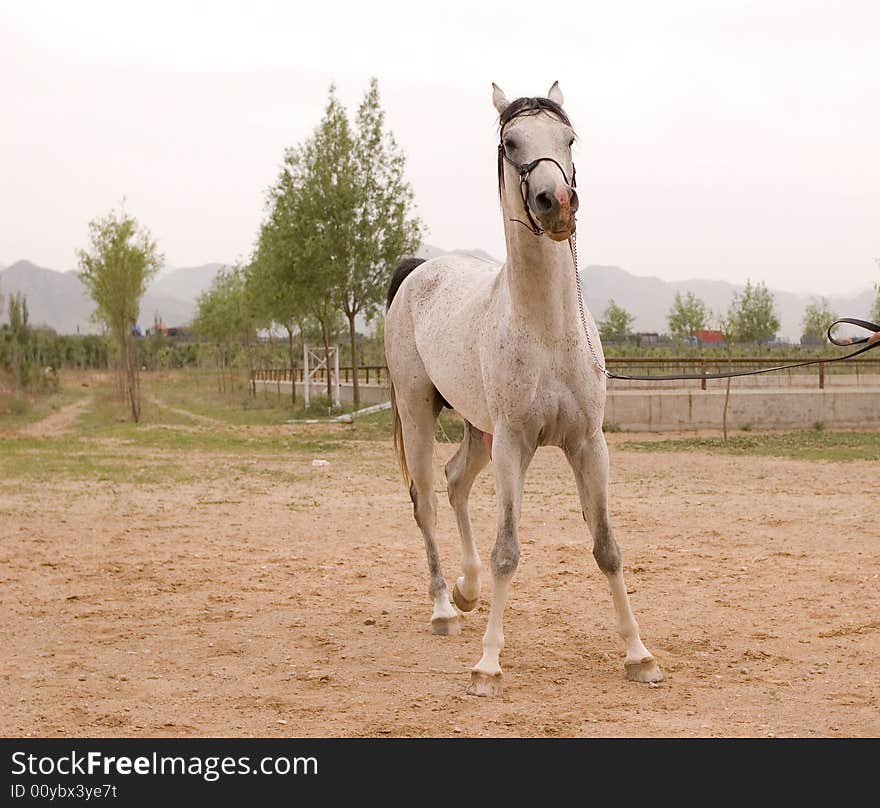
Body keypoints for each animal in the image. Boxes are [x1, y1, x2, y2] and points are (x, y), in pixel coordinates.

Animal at [384, 83, 660, 700]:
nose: (556, 202)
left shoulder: (588, 444)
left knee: (455, 482)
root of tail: (418, 271)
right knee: (426, 499)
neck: (548, 331)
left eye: (569, 138)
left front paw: (639, 655)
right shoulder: (515, 445)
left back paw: (467, 591)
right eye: (511, 143)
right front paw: (488, 665)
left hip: (476, 427)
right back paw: (444, 607)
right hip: (420, 413)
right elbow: (507, 550)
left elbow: (607, 547)